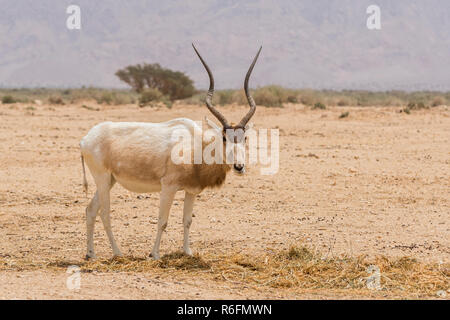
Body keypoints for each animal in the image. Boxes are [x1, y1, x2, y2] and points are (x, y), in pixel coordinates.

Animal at [80, 44, 260, 260]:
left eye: (245, 138)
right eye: (224, 138)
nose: (239, 167)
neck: (196, 146)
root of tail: (86, 139)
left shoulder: (191, 191)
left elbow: (187, 220)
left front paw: (187, 252)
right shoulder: (168, 187)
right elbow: (162, 221)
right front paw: (155, 254)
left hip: (109, 181)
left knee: (91, 210)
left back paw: (91, 254)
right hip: (102, 178)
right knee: (105, 213)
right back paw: (118, 253)